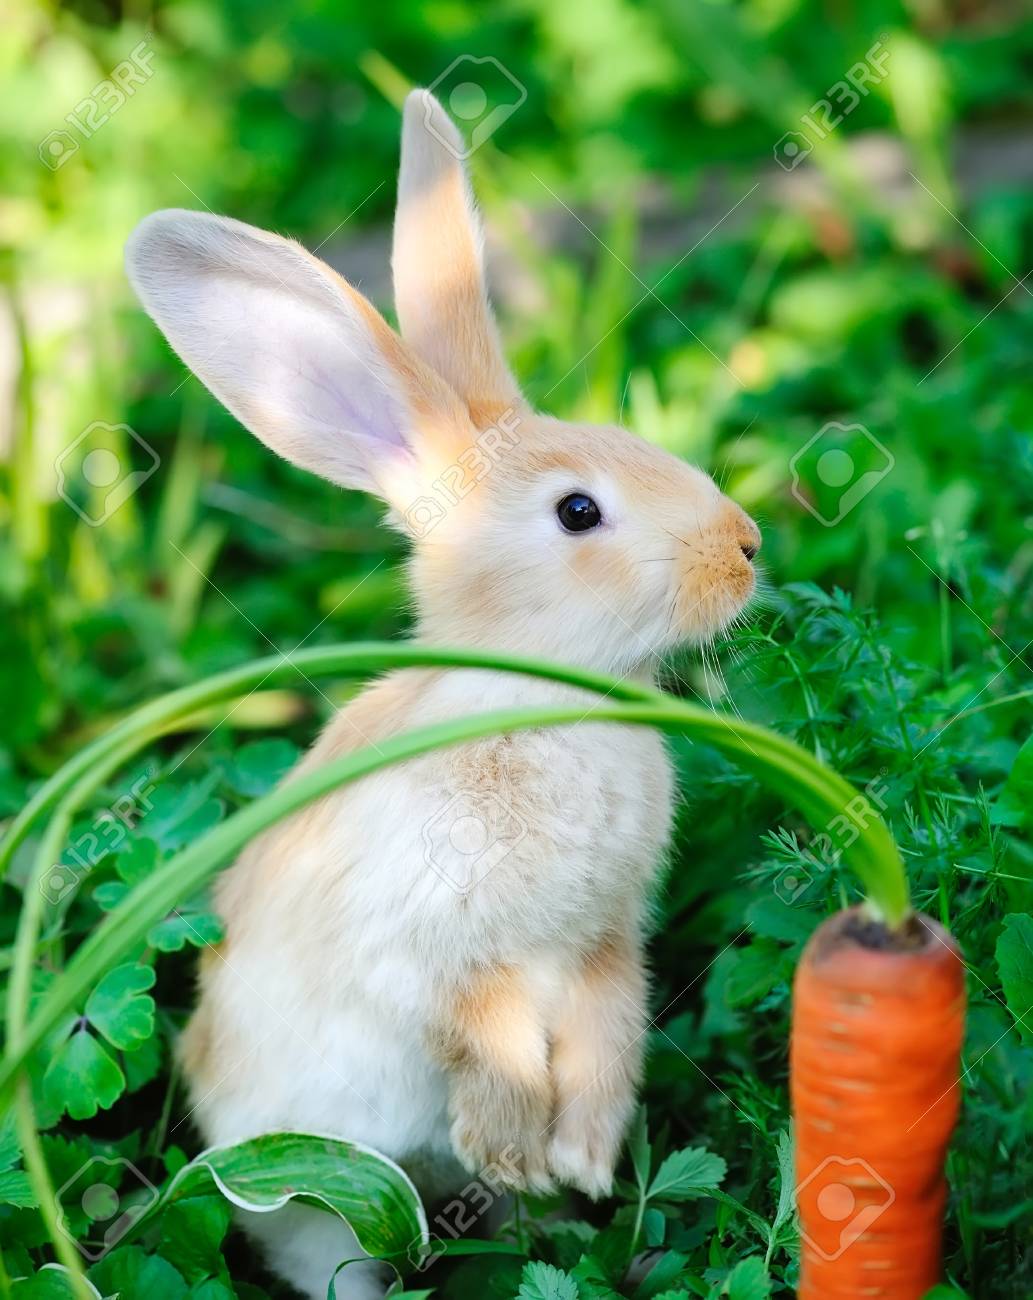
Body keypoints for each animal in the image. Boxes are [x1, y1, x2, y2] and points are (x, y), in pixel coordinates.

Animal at [125, 89, 761, 1300]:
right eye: (576, 512)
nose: (745, 547)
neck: (537, 699)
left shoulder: (606, 939)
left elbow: (608, 1030)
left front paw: (584, 1158)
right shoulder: (442, 951)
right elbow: (488, 1036)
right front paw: (516, 1144)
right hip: (316, 1192)